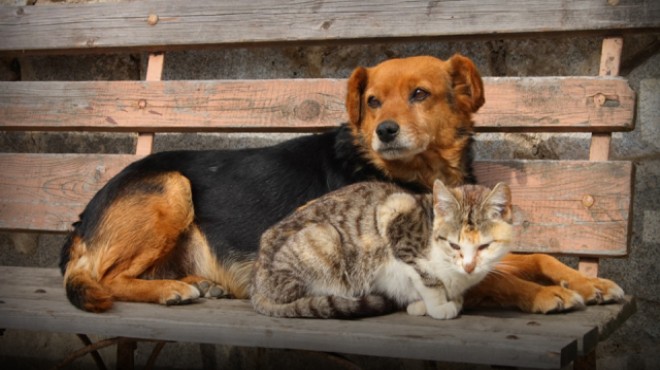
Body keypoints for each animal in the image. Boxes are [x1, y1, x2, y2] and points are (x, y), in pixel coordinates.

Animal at [250, 181, 512, 320]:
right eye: (454, 245)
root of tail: (255, 284)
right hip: (324, 239)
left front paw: (441, 301)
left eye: (484, 246)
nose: (469, 266)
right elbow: (428, 279)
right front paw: (439, 306)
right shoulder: (396, 217)